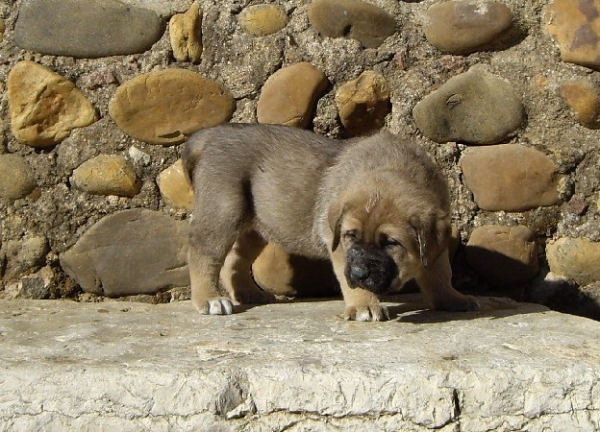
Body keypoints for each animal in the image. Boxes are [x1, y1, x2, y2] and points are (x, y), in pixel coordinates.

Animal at [183, 124, 478, 320]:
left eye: (391, 243)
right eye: (350, 236)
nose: (358, 272)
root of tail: (212, 134)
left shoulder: (435, 244)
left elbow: (439, 273)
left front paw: (452, 299)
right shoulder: (337, 246)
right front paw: (364, 306)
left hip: (257, 224)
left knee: (234, 260)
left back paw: (247, 293)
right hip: (224, 210)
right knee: (202, 254)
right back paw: (210, 299)